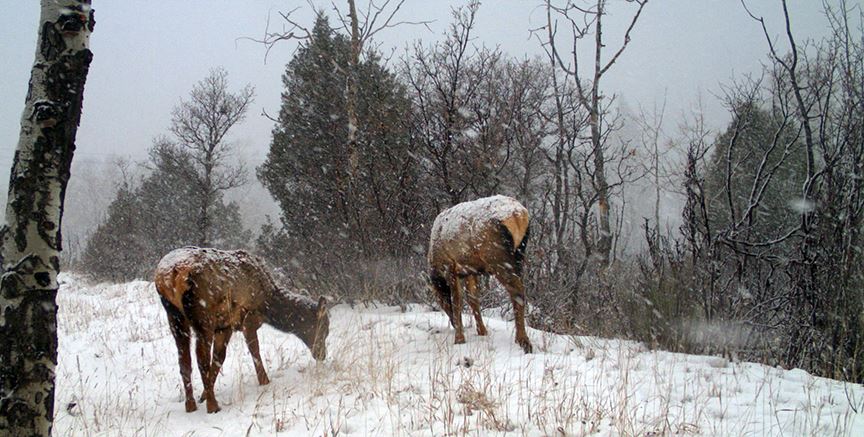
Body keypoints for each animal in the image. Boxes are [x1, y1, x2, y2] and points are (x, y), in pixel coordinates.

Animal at [154, 247, 329, 413]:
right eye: (325, 328)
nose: (322, 355)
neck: (268, 305)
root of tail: (171, 275)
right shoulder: (244, 319)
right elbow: (253, 351)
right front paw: (265, 381)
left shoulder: (224, 325)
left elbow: (219, 359)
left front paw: (203, 395)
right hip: (204, 318)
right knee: (201, 359)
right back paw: (213, 406)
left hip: (175, 318)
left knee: (184, 360)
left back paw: (190, 405)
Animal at [427, 195, 533, 353]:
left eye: (439, 300)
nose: (453, 323)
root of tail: (518, 215)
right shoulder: (470, 270)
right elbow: (473, 300)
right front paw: (482, 331)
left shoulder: (451, 266)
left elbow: (457, 301)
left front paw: (459, 339)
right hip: (520, 253)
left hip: (498, 257)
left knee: (517, 292)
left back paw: (523, 341)